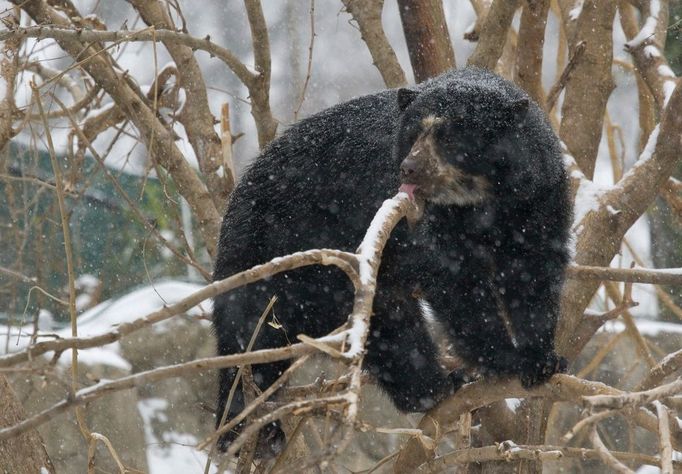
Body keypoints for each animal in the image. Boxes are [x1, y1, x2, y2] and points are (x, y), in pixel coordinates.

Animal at [211, 66, 568, 456]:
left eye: (451, 138)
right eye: (413, 134)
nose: (410, 168)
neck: (479, 205)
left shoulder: (538, 201)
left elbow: (534, 272)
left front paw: (543, 359)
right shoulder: (418, 220)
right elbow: (455, 283)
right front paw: (504, 358)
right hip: (292, 260)